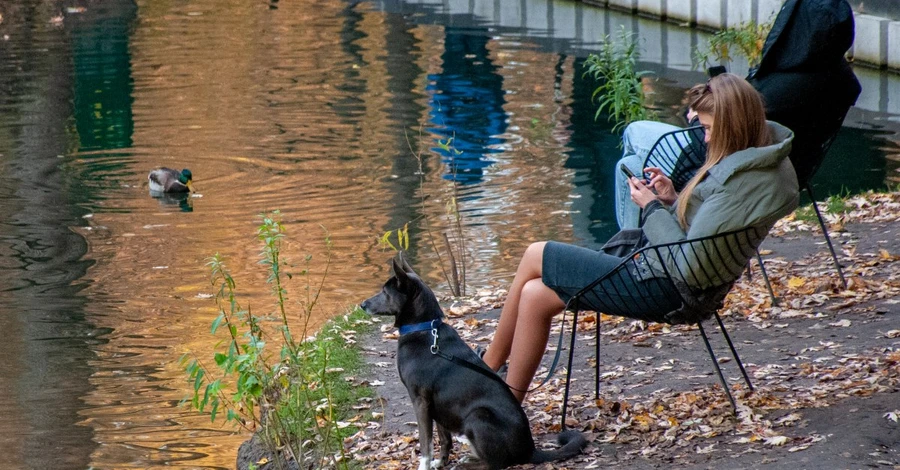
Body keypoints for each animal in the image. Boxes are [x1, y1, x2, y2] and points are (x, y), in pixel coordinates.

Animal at [362, 258, 588, 470]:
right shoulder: (436, 405)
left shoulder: (420, 401)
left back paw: (466, 464)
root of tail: (530, 450)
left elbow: (426, 443)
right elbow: (444, 438)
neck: (424, 329)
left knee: (497, 463)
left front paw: (424, 466)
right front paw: (441, 462)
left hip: (478, 415)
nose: (362, 304)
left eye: (384, 291)